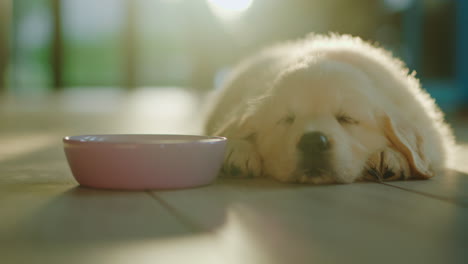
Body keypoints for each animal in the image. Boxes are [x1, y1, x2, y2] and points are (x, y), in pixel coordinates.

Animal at [204, 33, 454, 184]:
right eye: (287, 119)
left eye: (346, 118)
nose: (313, 142)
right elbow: (232, 128)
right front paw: (238, 150)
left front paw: (390, 156)